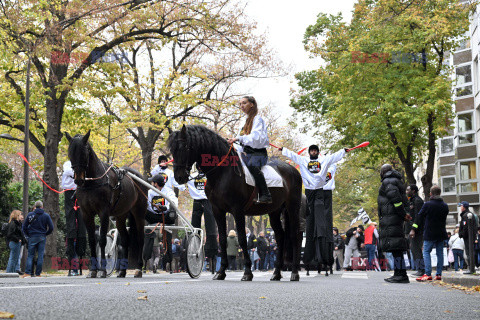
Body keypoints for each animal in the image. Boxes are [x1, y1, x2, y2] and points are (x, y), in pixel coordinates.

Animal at [65, 130, 147, 278]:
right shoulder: (86, 213)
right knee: (125, 240)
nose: (78, 180)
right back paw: (122, 271)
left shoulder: (103, 213)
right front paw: (93, 270)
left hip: (139, 213)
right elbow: (92, 240)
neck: (92, 182)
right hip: (121, 216)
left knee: (140, 239)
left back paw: (138, 268)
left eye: (84, 153)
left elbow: (102, 240)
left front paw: (102, 269)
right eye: (70, 153)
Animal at [169, 124, 304, 280]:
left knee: (294, 236)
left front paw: (247, 272)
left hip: (292, 208)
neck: (222, 172)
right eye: (172, 150)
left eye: (185, 147)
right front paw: (221, 272)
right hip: (274, 212)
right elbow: (222, 239)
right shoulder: (217, 210)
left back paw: (294, 273)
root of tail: (293, 169)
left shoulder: (237, 210)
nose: (179, 177)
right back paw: (276, 273)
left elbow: (242, 239)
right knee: (280, 236)